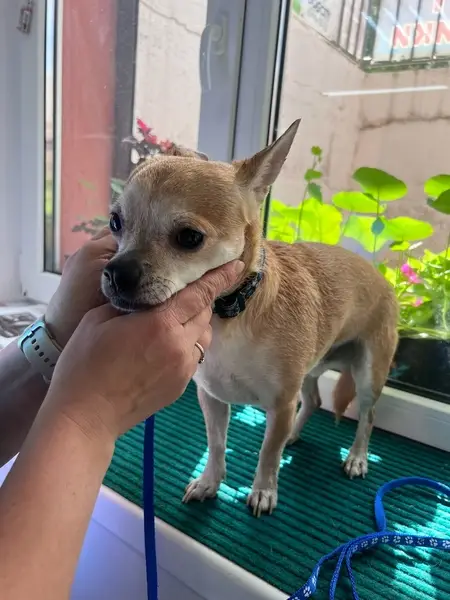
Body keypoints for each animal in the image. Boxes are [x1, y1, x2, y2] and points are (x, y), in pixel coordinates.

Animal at [101, 120, 399, 517]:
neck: (228, 315)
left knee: (367, 417)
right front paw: (210, 482)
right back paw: (295, 435)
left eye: (189, 238)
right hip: (311, 368)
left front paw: (264, 491)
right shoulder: (212, 399)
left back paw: (356, 458)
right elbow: (216, 444)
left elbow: (267, 453)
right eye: (115, 223)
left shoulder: (281, 403)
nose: (117, 272)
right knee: (314, 401)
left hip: (369, 375)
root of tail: (382, 277)